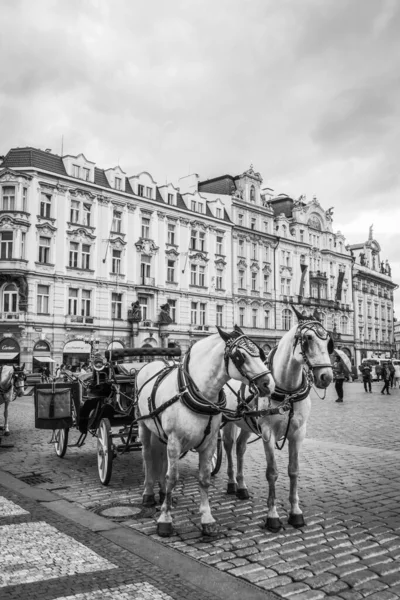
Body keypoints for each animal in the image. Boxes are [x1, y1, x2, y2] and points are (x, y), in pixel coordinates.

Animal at [138, 326, 276, 536]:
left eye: (260, 353)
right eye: (239, 356)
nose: (269, 384)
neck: (197, 392)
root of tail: (152, 362)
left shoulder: (209, 442)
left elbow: (203, 478)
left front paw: (207, 519)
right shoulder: (175, 441)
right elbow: (172, 478)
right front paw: (165, 519)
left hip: (160, 434)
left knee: (161, 457)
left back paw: (162, 494)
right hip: (144, 427)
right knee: (147, 456)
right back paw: (148, 494)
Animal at [223, 312, 332, 532]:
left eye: (328, 341)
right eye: (308, 338)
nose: (326, 377)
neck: (288, 391)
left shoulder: (298, 434)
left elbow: (294, 471)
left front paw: (295, 513)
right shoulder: (267, 434)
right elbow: (272, 473)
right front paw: (272, 516)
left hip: (247, 425)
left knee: (240, 448)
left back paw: (241, 487)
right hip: (228, 422)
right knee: (228, 448)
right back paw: (231, 483)